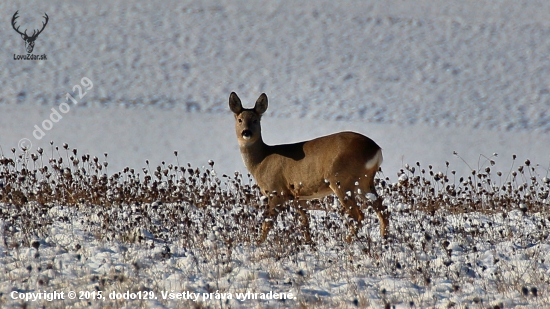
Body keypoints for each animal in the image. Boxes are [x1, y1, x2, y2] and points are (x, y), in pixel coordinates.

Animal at [231, 92, 390, 242]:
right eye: (239, 120)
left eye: (255, 120)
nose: (246, 132)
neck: (261, 161)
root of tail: (376, 149)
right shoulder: (297, 197)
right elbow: (305, 221)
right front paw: (308, 243)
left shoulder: (277, 192)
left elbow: (267, 223)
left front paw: (257, 244)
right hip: (363, 182)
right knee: (382, 208)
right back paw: (384, 238)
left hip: (341, 180)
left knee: (358, 215)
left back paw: (348, 241)